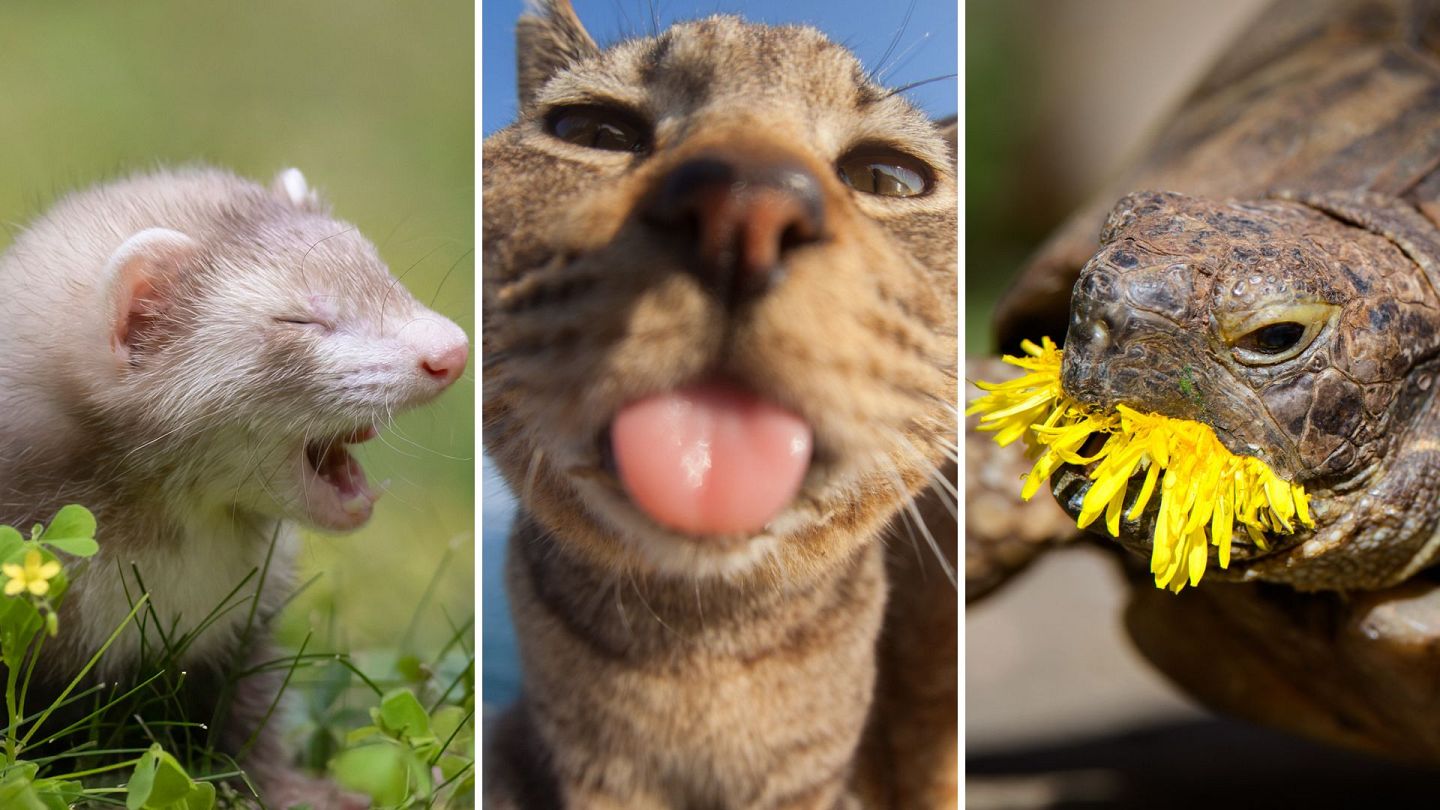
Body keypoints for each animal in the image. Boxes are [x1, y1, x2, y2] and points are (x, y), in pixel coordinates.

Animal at [483, 3, 956, 801]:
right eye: (594, 131)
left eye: (888, 177)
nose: (745, 207)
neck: (699, 646)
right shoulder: (590, 770)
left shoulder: (815, 777)